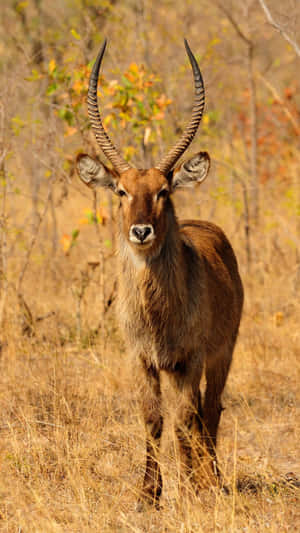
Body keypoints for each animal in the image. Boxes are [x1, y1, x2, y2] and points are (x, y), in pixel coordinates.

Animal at [76, 39, 243, 504]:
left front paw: (189, 487)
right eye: (121, 190)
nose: (141, 230)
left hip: (221, 354)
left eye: (163, 190)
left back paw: (213, 479)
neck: (157, 311)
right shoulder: (142, 359)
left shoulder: (191, 358)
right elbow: (153, 419)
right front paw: (149, 493)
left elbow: (187, 418)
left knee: (210, 409)